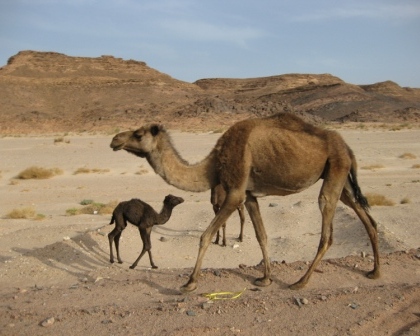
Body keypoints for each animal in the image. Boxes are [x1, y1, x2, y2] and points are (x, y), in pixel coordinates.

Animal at [110, 112, 378, 292]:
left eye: (138, 134)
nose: (114, 139)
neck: (213, 165)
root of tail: (347, 147)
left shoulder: (235, 192)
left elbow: (205, 236)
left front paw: (190, 282)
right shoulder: (249, 196)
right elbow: (262, 235)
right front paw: (265, 278)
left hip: (335, 167)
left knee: (327, 230)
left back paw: (300, 282)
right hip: (340, 176)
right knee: (366, 218)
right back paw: (375, 272)